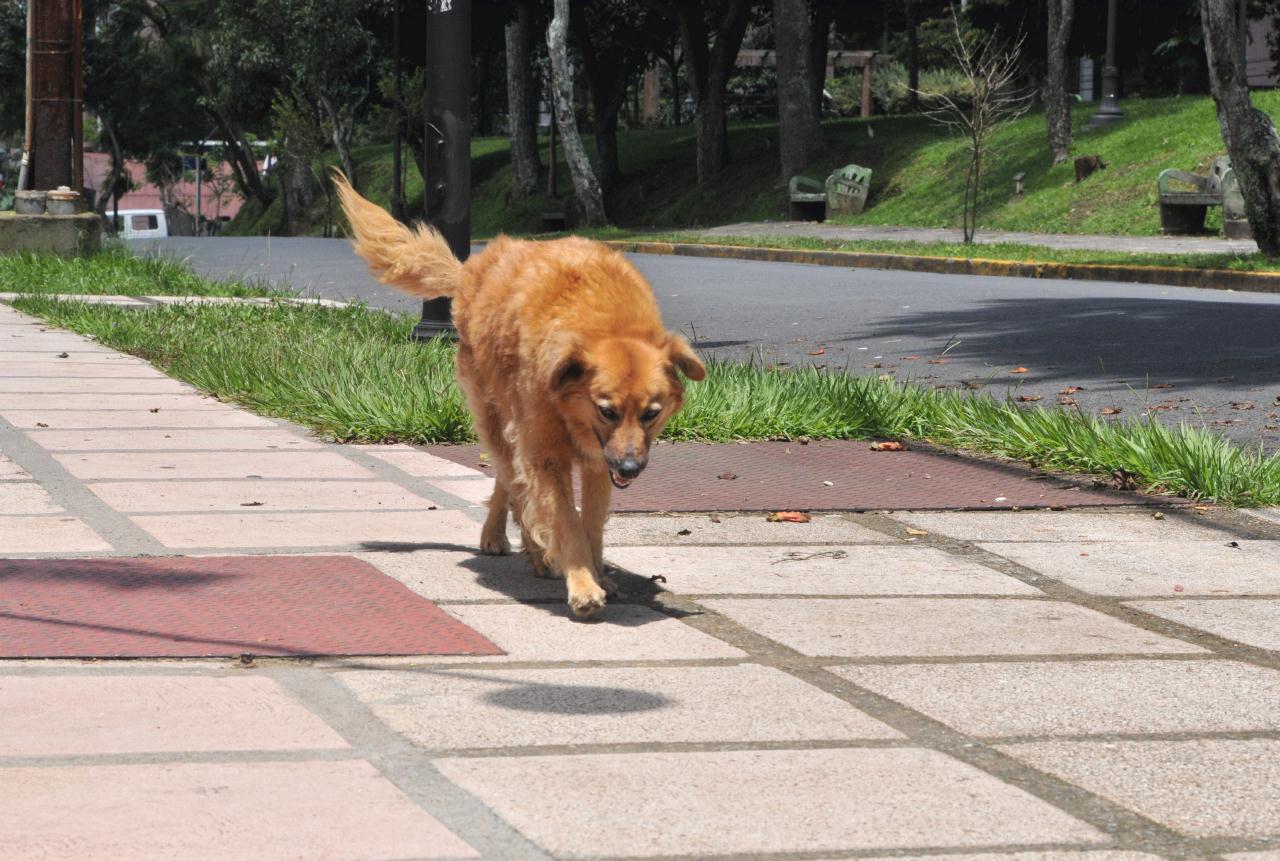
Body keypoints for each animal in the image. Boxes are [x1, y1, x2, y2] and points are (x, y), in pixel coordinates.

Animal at [335, 176, 706, 619]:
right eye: (607, 410)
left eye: (652, 413)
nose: (631, 469)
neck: (603, 322)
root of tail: (469, 272)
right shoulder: (545, 453)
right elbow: (563, 520)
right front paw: (582, 583)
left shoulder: (597, 462)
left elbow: (590, 523)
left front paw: (598, 574)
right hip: (497, 415)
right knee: (513, 480)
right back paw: (522, 546)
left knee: (508, 478)